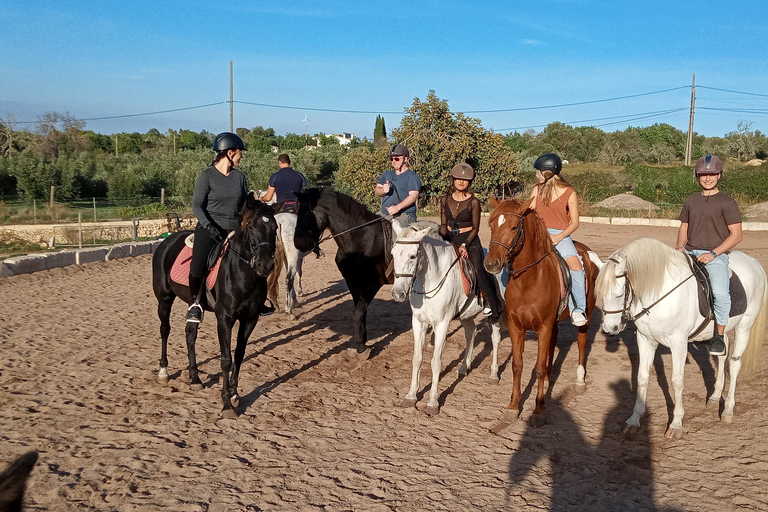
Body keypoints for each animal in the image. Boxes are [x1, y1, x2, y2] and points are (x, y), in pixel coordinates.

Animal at [152, 192, 278, 416]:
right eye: (252, 227)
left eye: (275, 228)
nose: (265, 265)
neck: (243, 274)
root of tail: (168, 241)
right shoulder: (225, 319)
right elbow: (226, 359)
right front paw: (227, 403)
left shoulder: (250, 319)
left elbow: (239, 355)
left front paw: (235, 394)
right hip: (164, 299)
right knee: (165, 329)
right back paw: (164, 372)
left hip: (193, 304)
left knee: (190, 333)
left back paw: (195, 378)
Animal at [292, 189, 392, 356]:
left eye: (307, 213)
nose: (298, 243)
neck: (361, 239)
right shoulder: (353, 282)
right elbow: (360, 312)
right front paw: (361, 343)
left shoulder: (372, 283)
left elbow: (358, 313)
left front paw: (361, 348)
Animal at [392, 220, 508, 416]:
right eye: (393, 254)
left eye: (413, 256)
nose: (397, 294)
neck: (430, 280)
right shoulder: (418, 323)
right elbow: (417, 359)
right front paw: (411, 395)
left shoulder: (442, 325)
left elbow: (435, 363)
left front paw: (432, 402)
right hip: (466, 315)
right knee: (471, 333)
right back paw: (463, 367)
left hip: (496, 313)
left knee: (495, 338)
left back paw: (493, 374)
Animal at [486, 197, 600, 428]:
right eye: (491, 225)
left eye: (514, 227)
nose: (491, 264)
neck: (529, 281)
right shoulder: (517, 327)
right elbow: (517, 365)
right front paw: (513, 406)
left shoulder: (544, 327)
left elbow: (537, 367)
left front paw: (539, 410)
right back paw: (548, 378)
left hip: (586, 315)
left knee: (582, 342)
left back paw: (580, 380)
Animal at [596, 238, 764, 438]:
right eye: (600, 294)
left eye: (620, 294)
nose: (610, 328)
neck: (659, 292)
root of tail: (753, 262)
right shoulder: (645, 340)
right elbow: (642, 377)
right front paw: (634, 420)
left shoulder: (679, 344)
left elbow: (676, 381)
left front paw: (676, 424)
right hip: (720, 330)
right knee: (723, 353)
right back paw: (715, 397)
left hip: (744, 326)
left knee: (734, 363)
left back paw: (728, 410)